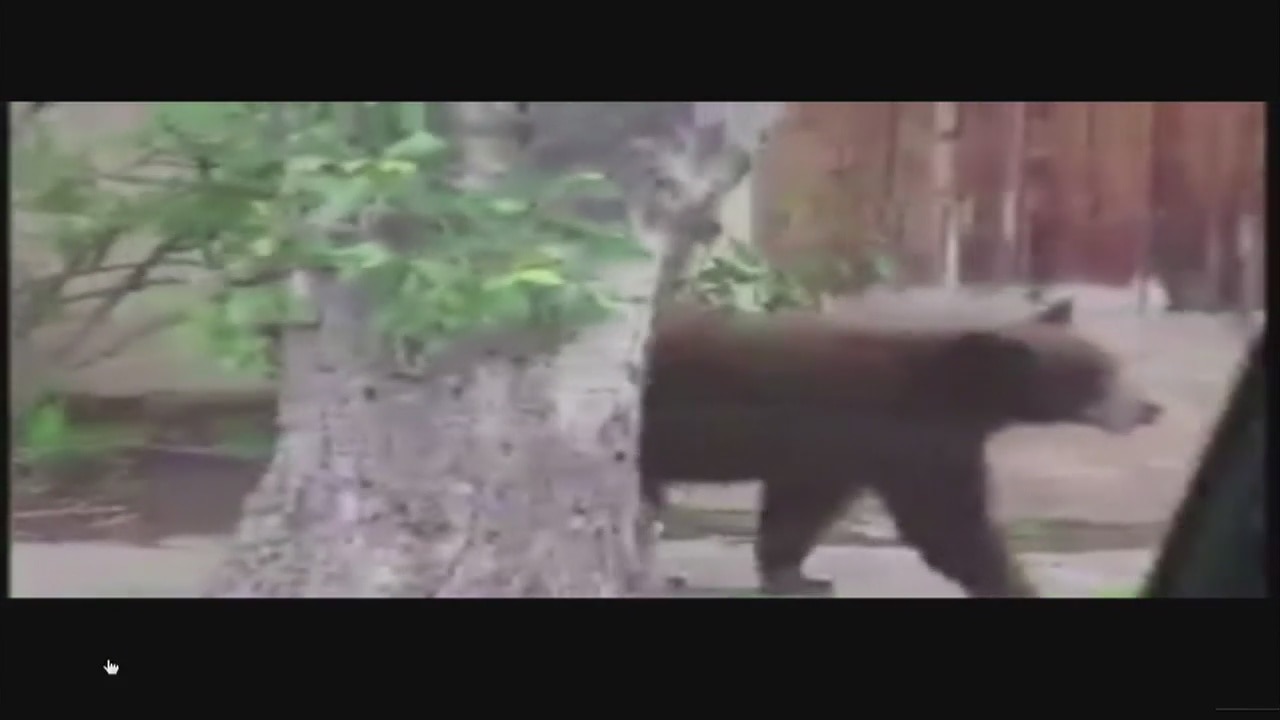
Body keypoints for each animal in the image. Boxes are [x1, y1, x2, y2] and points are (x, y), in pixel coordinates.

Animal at [638, 297, 1162, 597]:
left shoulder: (841, 451)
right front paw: (1014, 583)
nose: (1150, 408)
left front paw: (800, 577)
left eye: (1113, 364)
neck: (953, 390)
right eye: (1099, 378)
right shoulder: (909, 439)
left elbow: (801, 506)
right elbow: (948, 523)